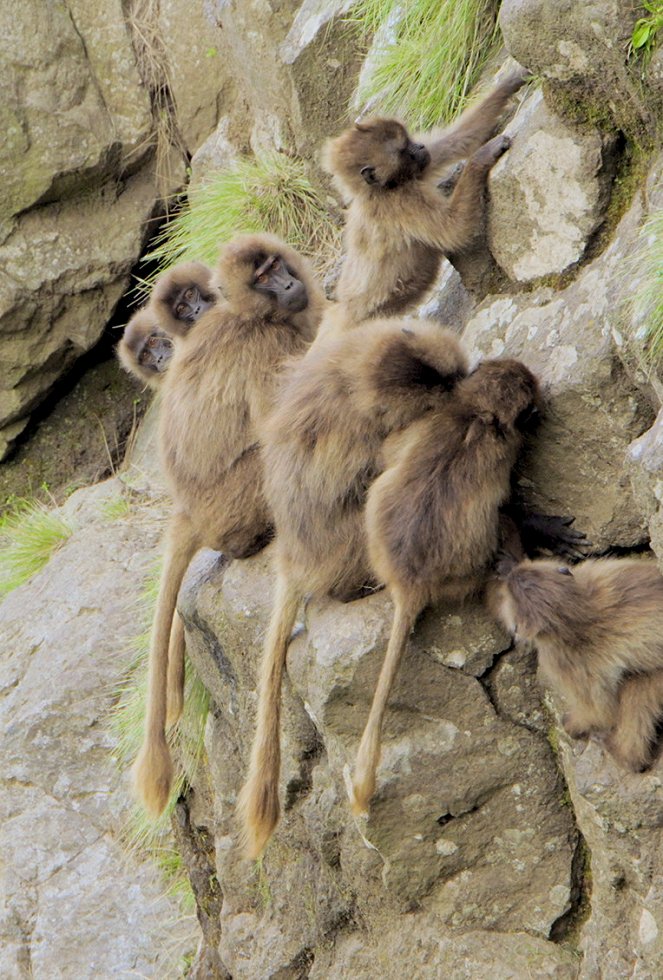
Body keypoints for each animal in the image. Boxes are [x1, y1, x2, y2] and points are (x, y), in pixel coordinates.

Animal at [133, 234, 326, 816]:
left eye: (276, 265)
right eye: (262, 277)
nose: (288, 283)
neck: (251, 314)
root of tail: (192, 511)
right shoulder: (267, 347)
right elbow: (277, 423)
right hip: (238, 500)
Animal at [236, 320, 470, 856]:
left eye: (453, 376)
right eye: (442, 389)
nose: (464, 384)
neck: (354, 374)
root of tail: (294, 558)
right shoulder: (360, 430)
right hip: (346, 544)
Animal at [324, 70, 528, 322]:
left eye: (410, 141)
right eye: (405, 150)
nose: (420, 147)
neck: (381, 190)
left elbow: (458, 139)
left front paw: (511, 82)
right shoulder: (401, 202)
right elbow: (453, 229)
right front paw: (482, 156)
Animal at [350, 356, 544, 816]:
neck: (477, 411)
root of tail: (409, 581)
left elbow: (388, 452)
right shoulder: (504, 450)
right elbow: (505, 503)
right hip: (466, 571)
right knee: (496, 526)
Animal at [490, 556, 663, 768]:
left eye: (506, 594)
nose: (506, 569)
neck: (572, 616)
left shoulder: (561, 662)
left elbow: (598, 711)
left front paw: (572, 724)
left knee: (635, 698)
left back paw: (626, 756)